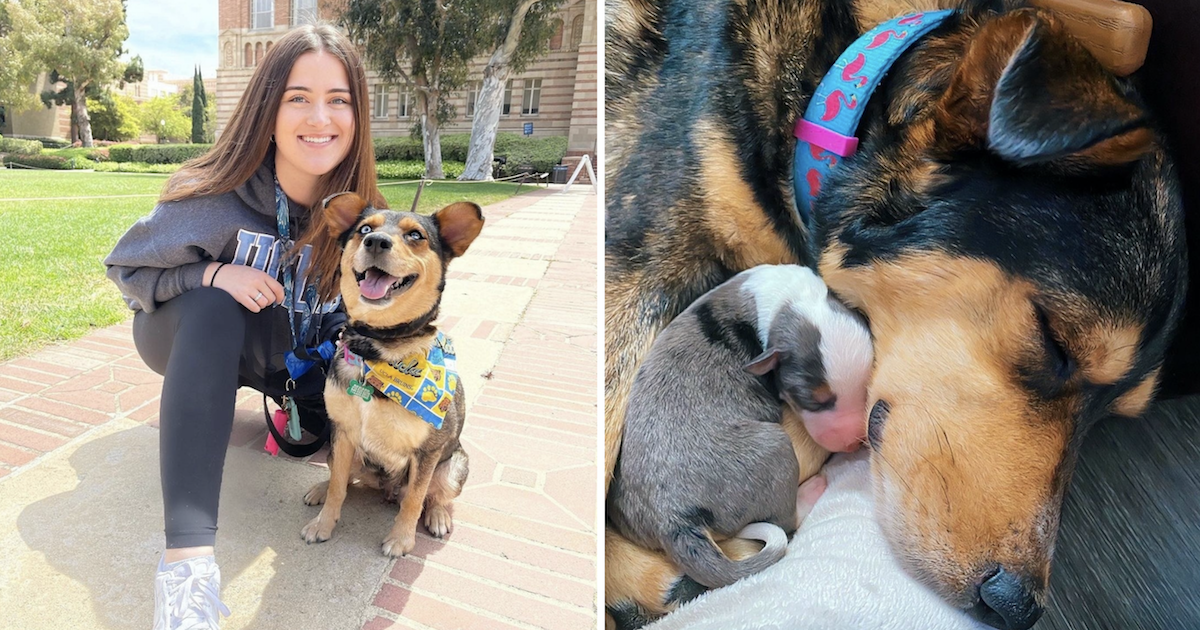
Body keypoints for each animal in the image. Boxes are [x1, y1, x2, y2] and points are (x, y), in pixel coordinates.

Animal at [300, 190, 482, 554]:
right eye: (364, 229)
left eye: (415, 235)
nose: (376, 241)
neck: (379, 348)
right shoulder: (343, 432)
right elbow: (339, 487)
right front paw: (324, 523)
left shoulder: (428, 452)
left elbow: (414, 498)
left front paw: (400, 539)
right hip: (343, 450)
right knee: (343, 478)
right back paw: (320, 490)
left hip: (454, 465)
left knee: (433, 495)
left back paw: (438, 516)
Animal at [609, 265, 873, 600]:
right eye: (813, 400)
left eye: (866, 387)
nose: (852, 444)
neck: (792, 300)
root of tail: (672, 521)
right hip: (774, 446)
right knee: (785, 520)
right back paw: (810, 491)